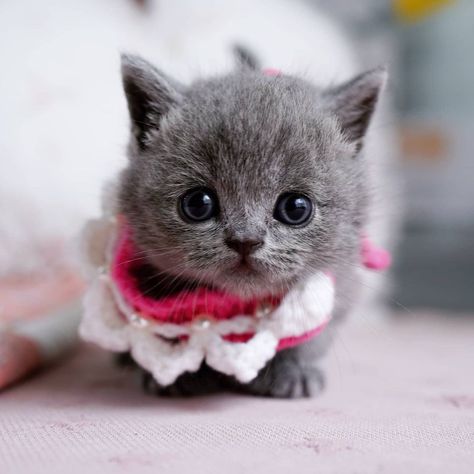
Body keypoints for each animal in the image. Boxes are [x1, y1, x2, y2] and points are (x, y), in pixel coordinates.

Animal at [117, 53, 386, 398]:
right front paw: (180, 375)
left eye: (296, 208)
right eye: (198, 203)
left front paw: (293, 371)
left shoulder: (341, 285)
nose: (245, 239)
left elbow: (310, 336)